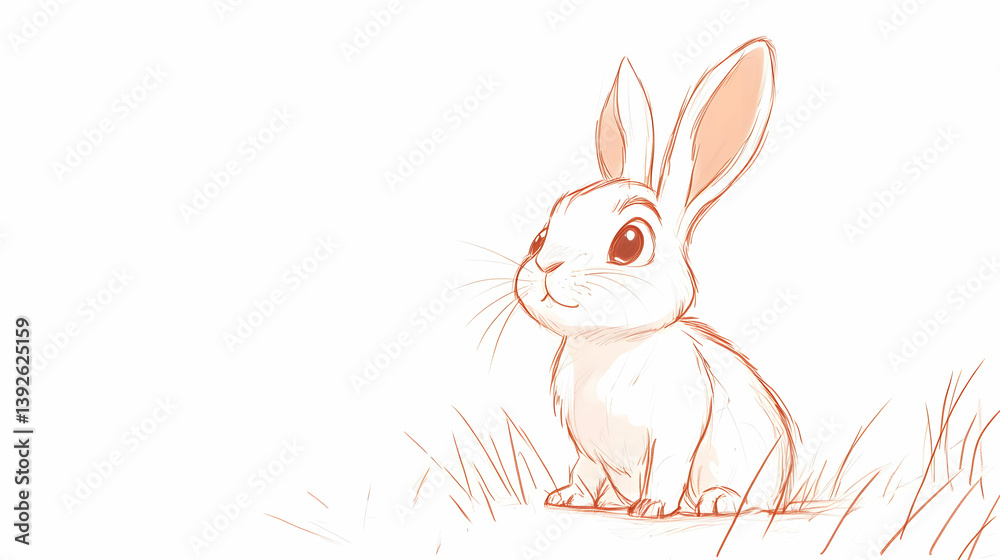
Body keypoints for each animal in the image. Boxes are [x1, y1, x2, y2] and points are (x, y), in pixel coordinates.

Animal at [512, 38, 800, 518]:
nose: (548, 266)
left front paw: (651, 506)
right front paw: (567, 497)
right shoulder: (588, 449)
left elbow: (667, 468)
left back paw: (719, 500)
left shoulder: (676, 432)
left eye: (629, 243)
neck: (610, 344)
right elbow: (584, 472)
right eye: (539, 237)